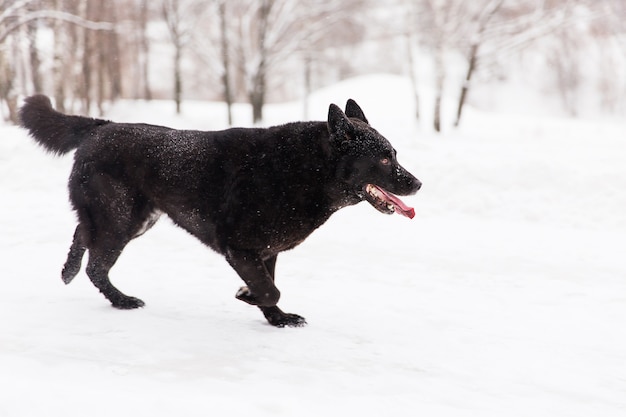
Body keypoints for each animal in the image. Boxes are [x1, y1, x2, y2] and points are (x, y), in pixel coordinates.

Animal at [19, 96, 420, 326]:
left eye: (396, 155)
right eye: (385, 159)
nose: (417, 183)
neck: (304, 170)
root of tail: (102, 127)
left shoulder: (266, 252)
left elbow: (272, 287)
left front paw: (276, 319)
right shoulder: (240, 249)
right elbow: (270, 289)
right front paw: (248, 296)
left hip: (136, 220)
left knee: (82, 234)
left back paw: (69, 272)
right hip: (120, 220)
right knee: (95, 263)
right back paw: (119, 299)